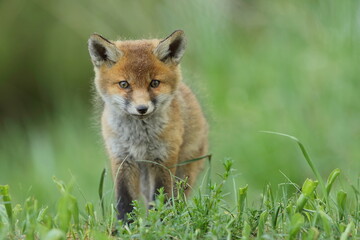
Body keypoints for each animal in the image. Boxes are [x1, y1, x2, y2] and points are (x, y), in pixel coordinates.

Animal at [87, 30, 208, 221]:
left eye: (154, 83)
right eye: (124, 84)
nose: (142, 108)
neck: (139, 139)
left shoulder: (163, 159)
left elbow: (160, 199)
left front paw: (159, 224)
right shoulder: (122, 159)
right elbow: (125, 200)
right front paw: (125, 225)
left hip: (182, 174)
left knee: (177, 198)